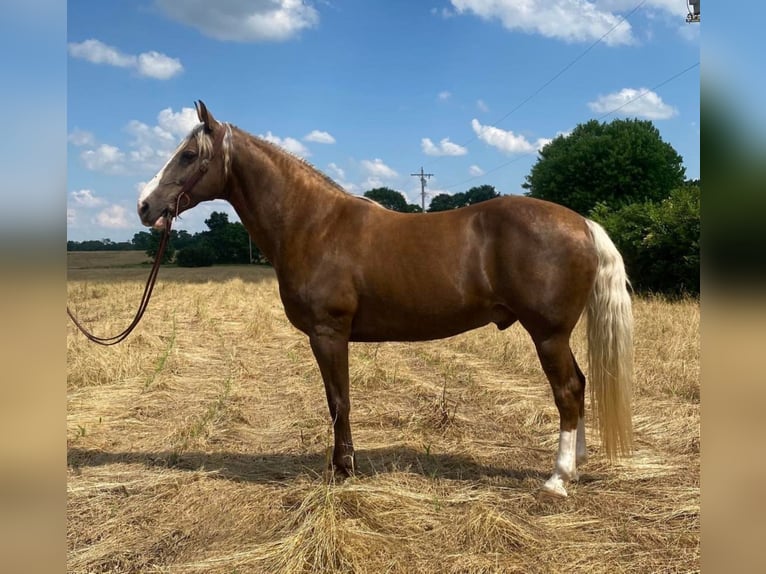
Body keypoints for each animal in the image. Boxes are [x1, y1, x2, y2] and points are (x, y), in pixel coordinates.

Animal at [140, 103, 636, 500]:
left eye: (188, 155)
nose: (145, 206)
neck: (313, 223)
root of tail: (582, 222)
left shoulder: (328, 333)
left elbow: (338, 400)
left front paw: (343, 470)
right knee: (580, 385)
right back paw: (577, 464)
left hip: (548, 334)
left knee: (567, 391)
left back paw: (557, 478)